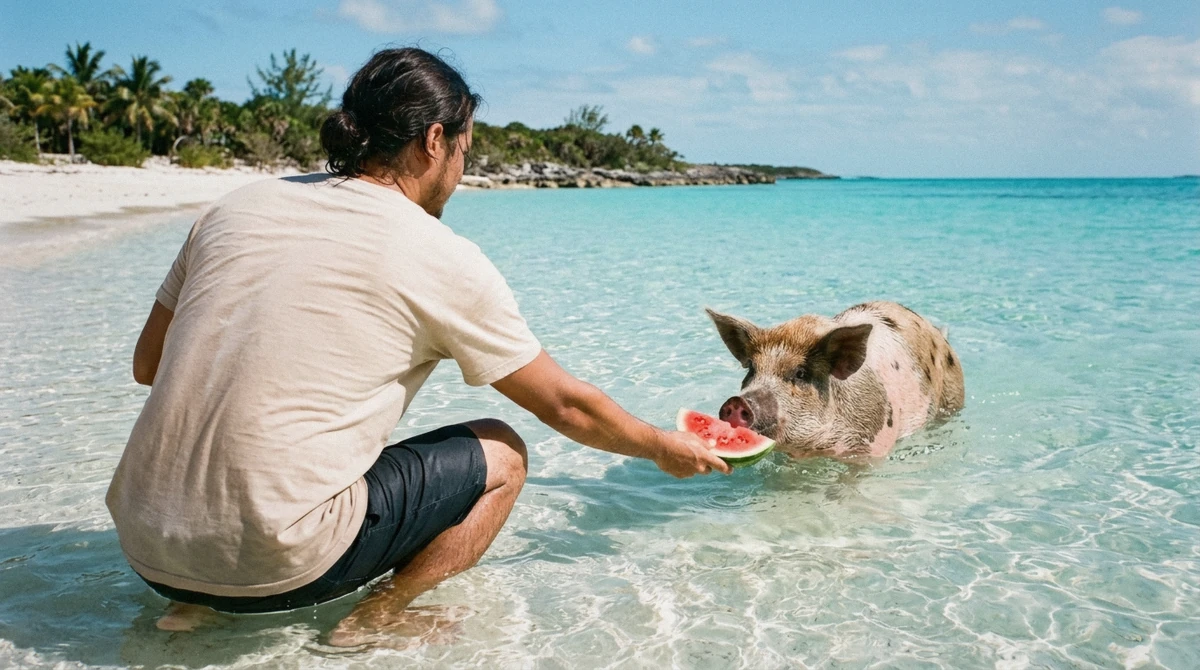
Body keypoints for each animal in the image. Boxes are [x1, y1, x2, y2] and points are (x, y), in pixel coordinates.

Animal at [707, 301, 964, 458]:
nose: (737, 402)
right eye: (752, 368)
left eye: (801, 373)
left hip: (953, 397)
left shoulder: (870, 447)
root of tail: (940, 334)